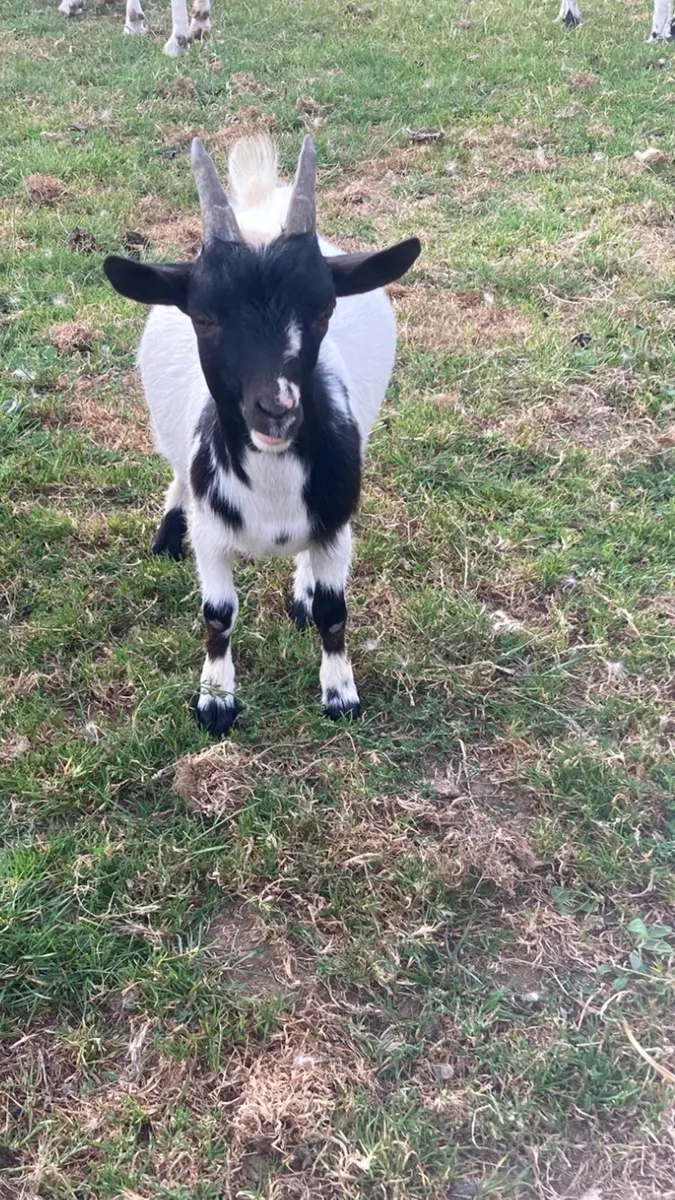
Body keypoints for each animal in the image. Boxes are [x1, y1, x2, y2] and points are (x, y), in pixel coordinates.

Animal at [103, 136, 421, 735]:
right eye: (203, 316)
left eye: (324, 307)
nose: (277, 409)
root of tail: (256, 212)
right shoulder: (211, 536)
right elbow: (218, 614)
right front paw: (215, 700)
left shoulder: (335, 525)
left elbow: (333, 611)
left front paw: (340, 693)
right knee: (176, 471)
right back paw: (167, 533)